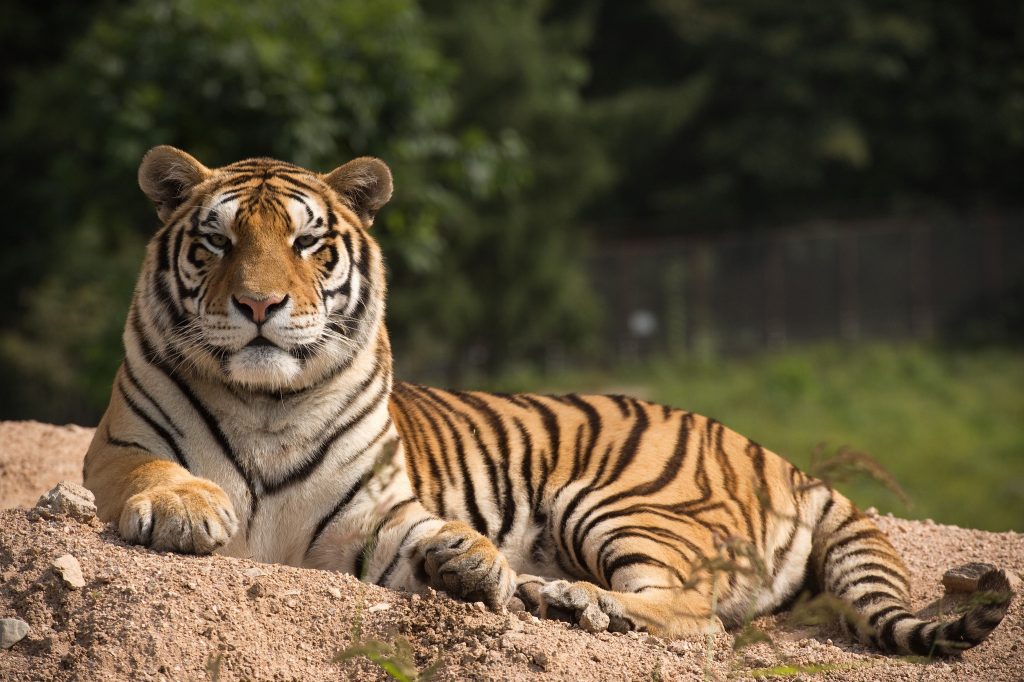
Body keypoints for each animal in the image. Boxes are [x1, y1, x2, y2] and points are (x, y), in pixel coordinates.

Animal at [83, 144, 1011, 655]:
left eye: (308, 243)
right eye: (218, 241)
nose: (260, 306)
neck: (269, 403)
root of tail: (776, 456)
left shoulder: (375, 511)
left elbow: (424, 534)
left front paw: (468, 563)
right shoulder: (119, 446)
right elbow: (151, 474)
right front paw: (187, 511)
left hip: (622, 502)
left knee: (698, 612)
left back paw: (567, 597)